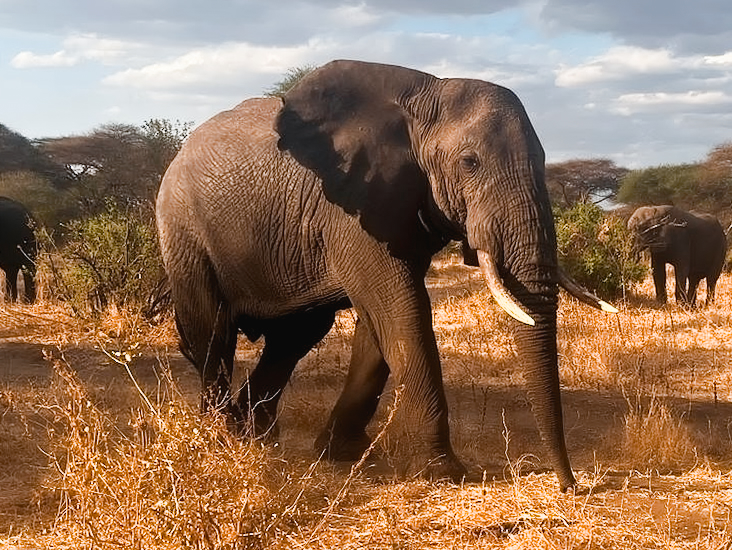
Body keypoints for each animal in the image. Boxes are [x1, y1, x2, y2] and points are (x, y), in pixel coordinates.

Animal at [156, 60, 616, 491]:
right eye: (469, 163)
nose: (570, 486)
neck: (426, 96)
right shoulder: (348, 208)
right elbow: (401, 309)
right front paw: (443, 473)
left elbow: (381, 322)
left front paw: (341, 454)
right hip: (182, 228)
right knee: (212, 332)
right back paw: (223, 439)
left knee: (295, 337)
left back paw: (257, 439)